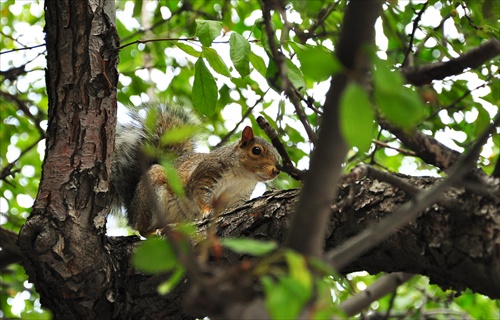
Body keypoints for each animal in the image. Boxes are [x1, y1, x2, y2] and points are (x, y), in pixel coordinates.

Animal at [110, 102, 282, 235]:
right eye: (256, 150)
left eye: (278, 156)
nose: (276, 171)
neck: (242, 176)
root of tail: (131, 211)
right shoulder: (205, 174)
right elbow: (199, 193)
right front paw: (207, 211)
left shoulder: (237, 197)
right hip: (151, 194)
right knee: (141, 229)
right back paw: (154, 231)